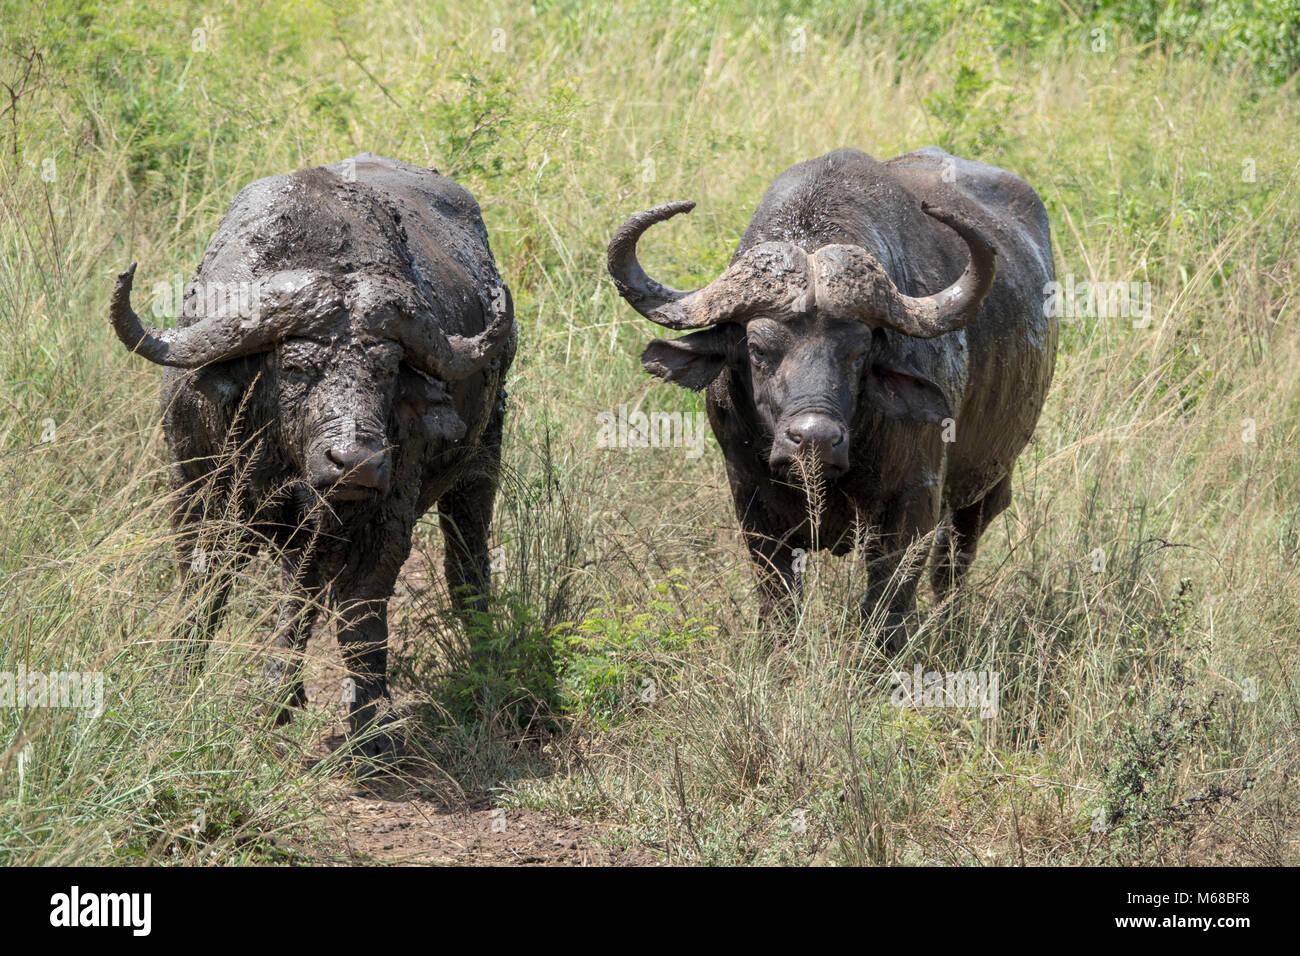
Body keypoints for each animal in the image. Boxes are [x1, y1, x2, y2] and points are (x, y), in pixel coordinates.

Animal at [111, 153, 515, 762]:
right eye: (298, 367)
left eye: (386, 369)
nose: (356, 462)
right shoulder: (194, 492)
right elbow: (204, 587)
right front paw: (180, 680)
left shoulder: (386, 513)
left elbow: (361, 616)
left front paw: (370, 725)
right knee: (298, 584)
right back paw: (280, 688)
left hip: (482, 458)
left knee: (467, 567)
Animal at [608, 147, 1057, 647]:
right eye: (758, 349)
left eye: (859, 351)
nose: (814, 439)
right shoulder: (751, 501)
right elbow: (778, 600)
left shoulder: (915, 499)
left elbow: (887, 604)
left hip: (989, 486)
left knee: (953, 562)